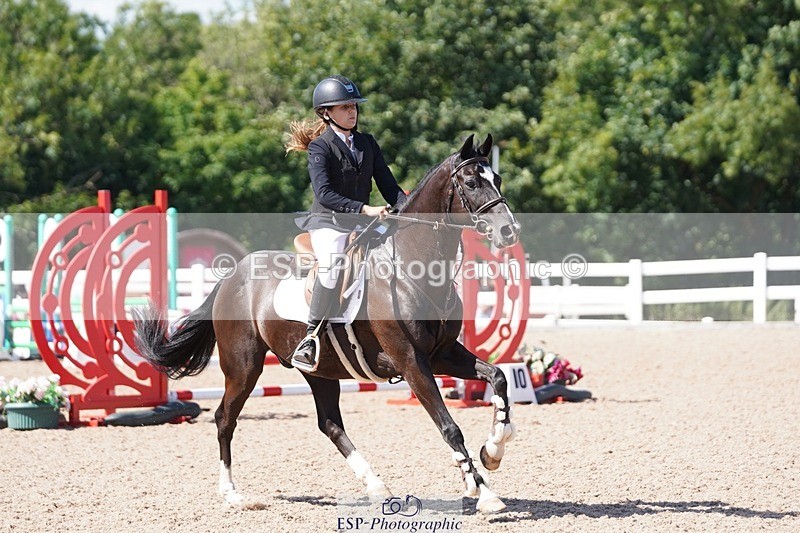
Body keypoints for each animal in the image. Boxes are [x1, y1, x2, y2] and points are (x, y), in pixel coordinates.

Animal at [133, 134, 522, 514]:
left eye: (498, 179)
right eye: (471, 182)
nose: (508, 231)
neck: (412, 267)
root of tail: (233, 274)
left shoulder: (443, 354)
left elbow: (498, 377)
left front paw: (493, 450)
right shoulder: (411, 361)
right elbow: (449, 426)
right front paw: (485, 493)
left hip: (319, 370)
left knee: (330, 424)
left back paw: (377, 487)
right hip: (243, 368)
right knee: (224, 418)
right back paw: (232, 494)